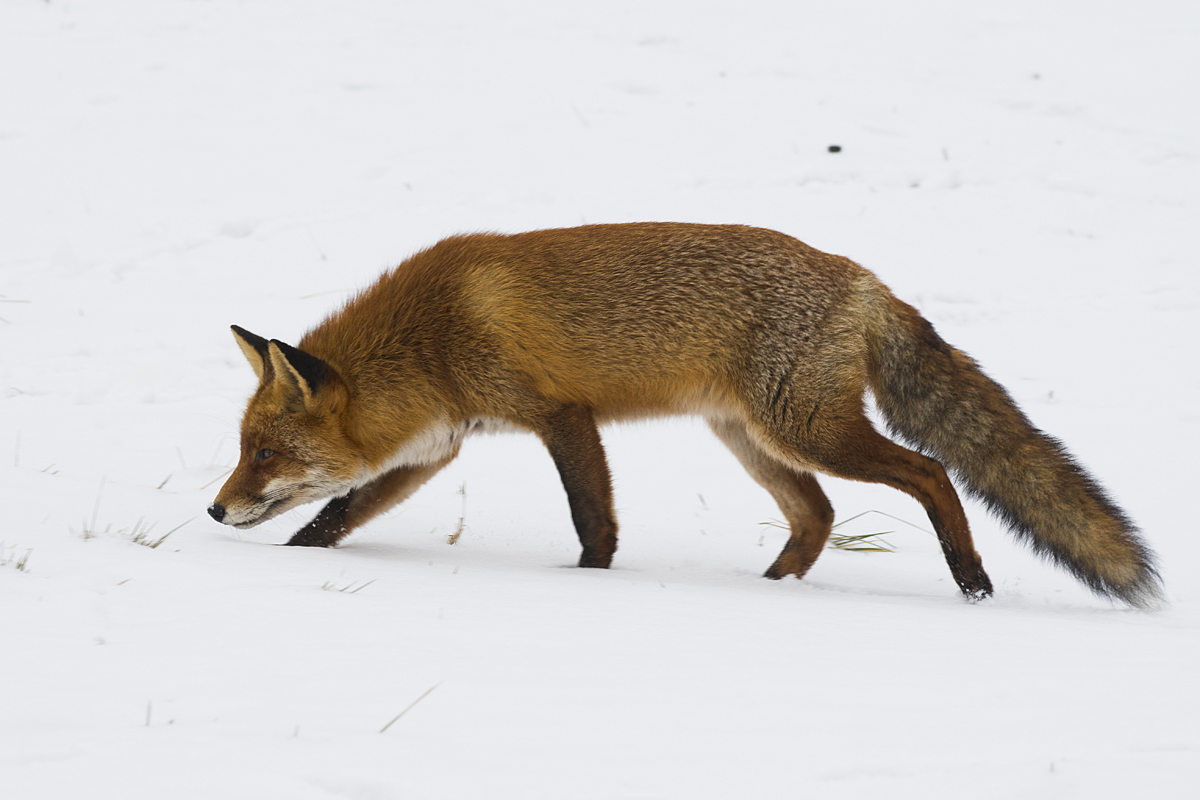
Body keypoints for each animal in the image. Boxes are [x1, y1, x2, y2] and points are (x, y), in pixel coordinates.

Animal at [208, 221, 1161, 604]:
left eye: (265, 453)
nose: (214, 510)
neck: (432, 335)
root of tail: (863, 279)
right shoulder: (438, 446)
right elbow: (337, 515)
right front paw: (293, 564)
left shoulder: (562, 415)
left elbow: (593, 520)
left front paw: (590, 585)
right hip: (752, 438)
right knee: (817, 515)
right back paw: (769, 593)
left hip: (806, 430)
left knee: (928, 472)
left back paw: (970, 580)